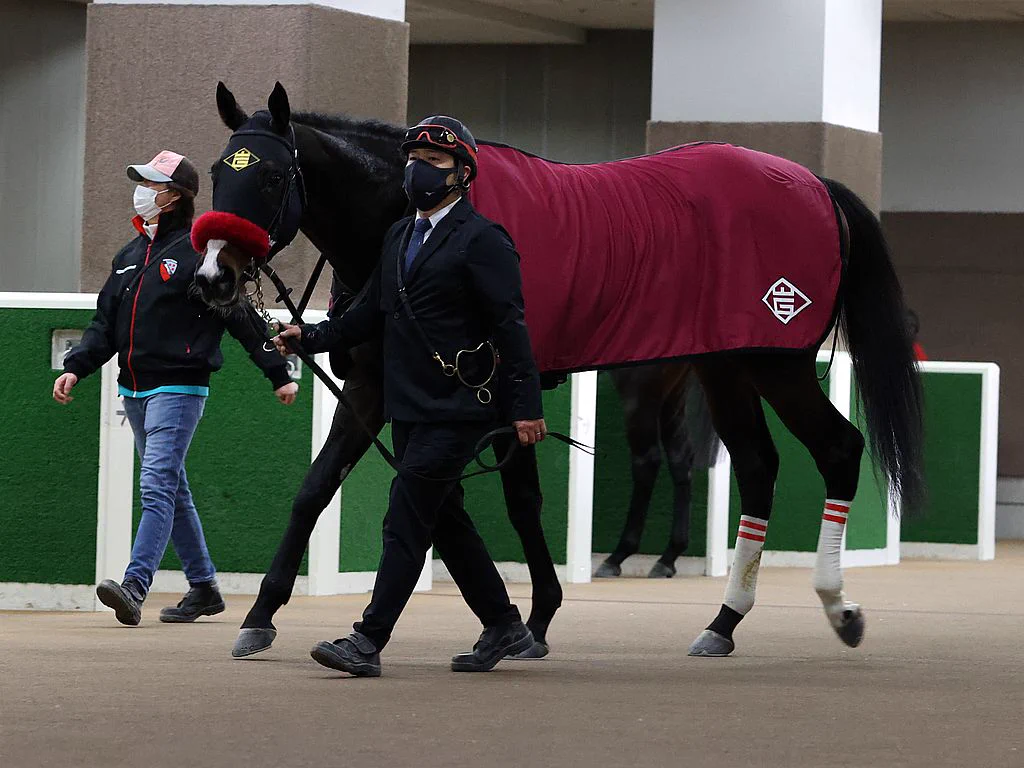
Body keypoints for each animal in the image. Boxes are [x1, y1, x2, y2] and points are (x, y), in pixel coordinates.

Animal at [193, 85, 929, 663]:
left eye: (269, 178)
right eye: (216, 173)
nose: (213, 278)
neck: (404, 219)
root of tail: (816, 185)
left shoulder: (498, 388)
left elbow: (520, 501)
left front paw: (533, 619)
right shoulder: (376, 389)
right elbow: (316, 490)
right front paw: (260, 616)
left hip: (776, 363)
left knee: (837, 448)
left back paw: (837, 608)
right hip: (727, 367)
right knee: (755, 467)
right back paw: (722, 623)